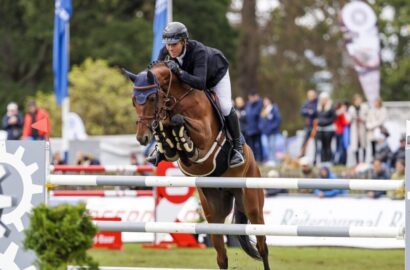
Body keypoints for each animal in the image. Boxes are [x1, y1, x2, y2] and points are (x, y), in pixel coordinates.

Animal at [123, 62, 270, 268]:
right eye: (134, 101)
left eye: (152, 98)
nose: (141, 138)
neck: (176, 99)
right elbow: (170, 133)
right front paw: (167, 141)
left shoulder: (205, 135)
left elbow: (179, 122)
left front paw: (181, 139)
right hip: (213, 211)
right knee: (222, 256)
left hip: (253, 205)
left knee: (263, 247)